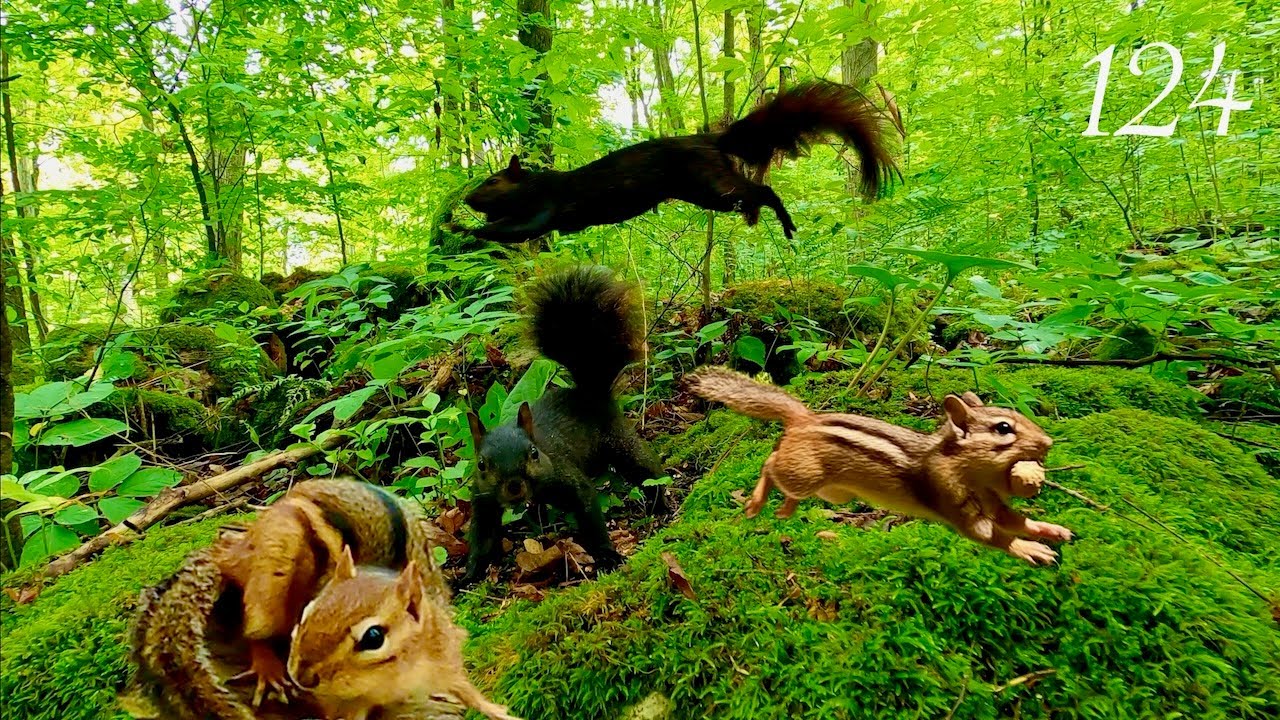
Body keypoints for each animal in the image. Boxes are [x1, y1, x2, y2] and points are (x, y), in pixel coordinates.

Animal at [129, 478, 456, 719]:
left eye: (374, 637)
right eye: (307, 614)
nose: (303, 676)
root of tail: (234, 549)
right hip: (273, 564)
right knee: (255, 628)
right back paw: (268, 670)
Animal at [287, 548, 521, 720]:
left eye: (374, 637)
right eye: (306, 612)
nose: (301, 677)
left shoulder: (446, 662)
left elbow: (469, 693)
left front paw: (501, 713)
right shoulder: (346, 703)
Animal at [448, 80, 895, 244]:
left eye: (491, 182)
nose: (468, 198)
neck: (535, 185)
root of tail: (710, 139)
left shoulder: (546, 206)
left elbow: (515, 229)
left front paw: (461, 228)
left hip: (712, 185)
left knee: (763, 190)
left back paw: (785, 223)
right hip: (705, 191)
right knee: (753, 195)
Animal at [462, 264, 666, 584]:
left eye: (533, 453)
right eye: (482, 464)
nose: (515, 486)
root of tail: (590, 393)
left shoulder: (563, 475)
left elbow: (589, 509)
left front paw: (607, 554)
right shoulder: (482, 500)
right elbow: (482, 539)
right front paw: (469, 574)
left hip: (619, 440)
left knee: (646, 467)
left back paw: (661, 502)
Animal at [688, 367, 1073, 565]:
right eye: (1003, 428)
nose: (1048, 443)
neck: (972, 474)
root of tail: (805, 418)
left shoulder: (993, 501)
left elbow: (1015, 520)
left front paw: (1051, 530)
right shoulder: (952, 499)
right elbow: (990, 535)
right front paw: (1030, 550)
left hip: (833, 494)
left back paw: (786, 509)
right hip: (803, 474)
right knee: (770, 464)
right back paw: (758, 503)